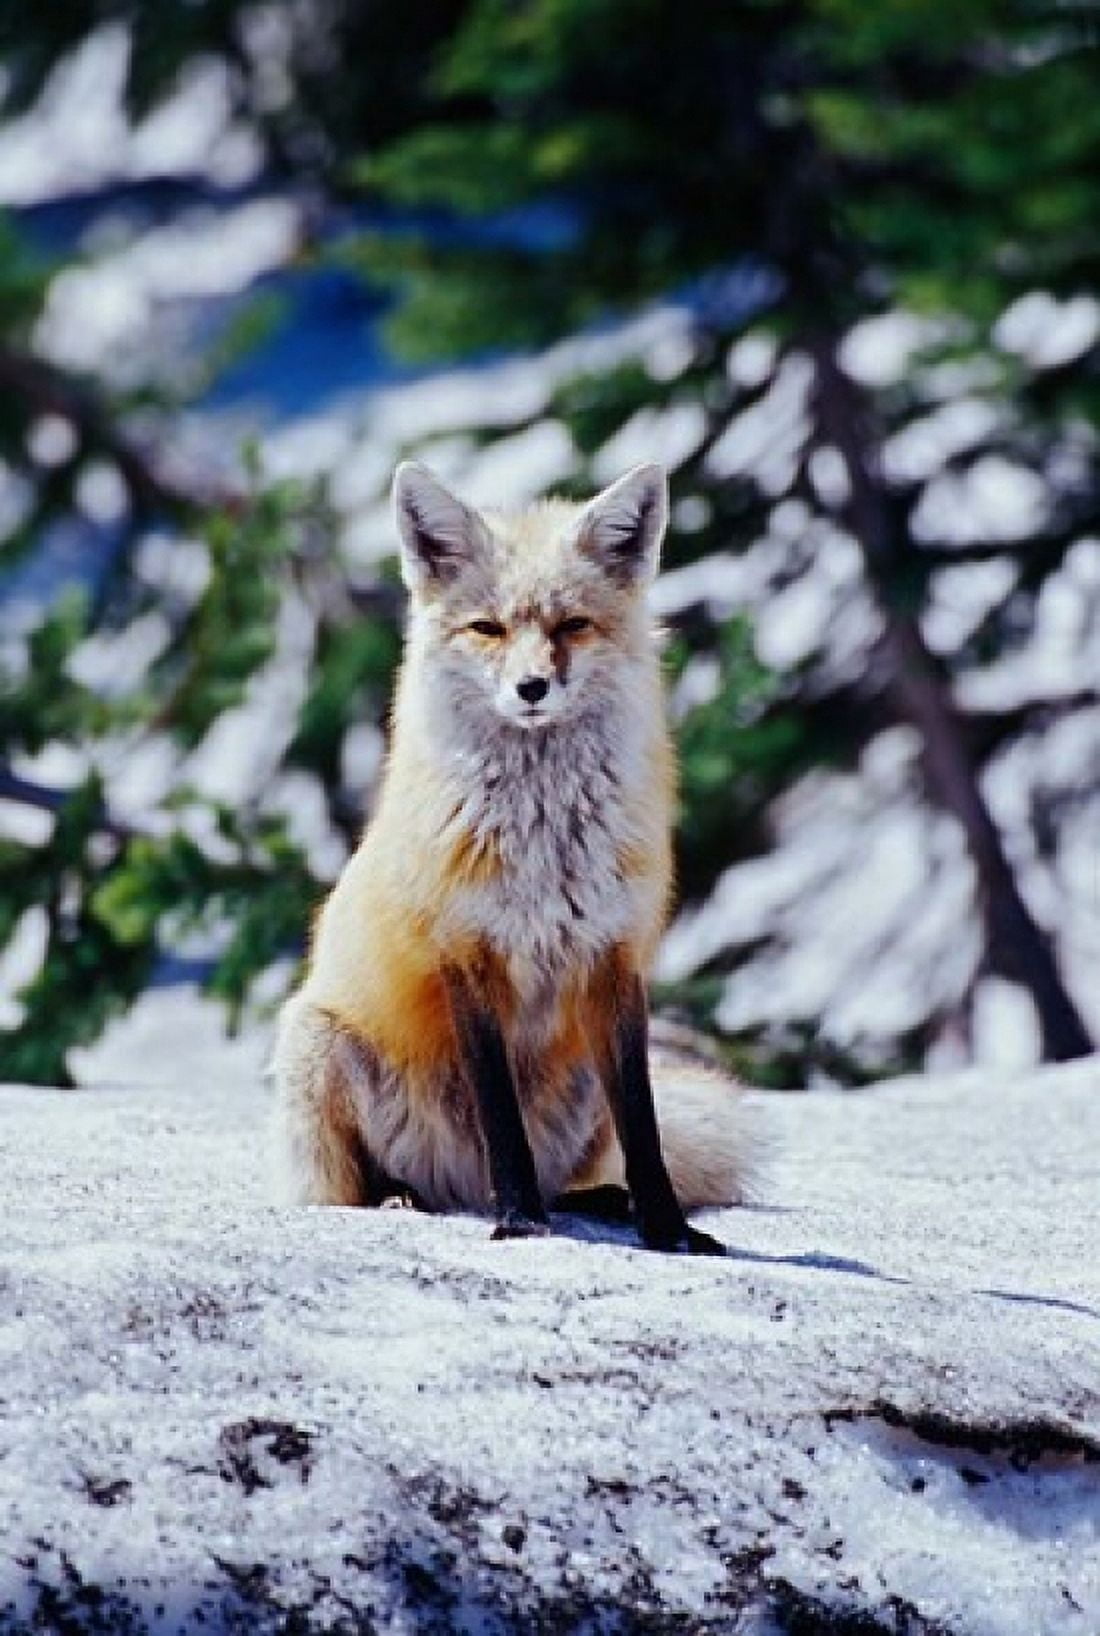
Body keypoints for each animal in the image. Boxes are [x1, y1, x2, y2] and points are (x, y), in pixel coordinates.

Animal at [272, 460, 756, 1253]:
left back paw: (602, 1200)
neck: (544, 843)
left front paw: (667, 1229)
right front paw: (522, 1221)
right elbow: (501, 1118)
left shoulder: (615, 958)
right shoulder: (467, 955)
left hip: (582, 1087)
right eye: (488, 629)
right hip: (317, 1044)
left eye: (571, 626)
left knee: (585, 1171)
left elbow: (646, 1127)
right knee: (354, 1187)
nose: (532, 687)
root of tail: (460, 1189)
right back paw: (405, 1196)